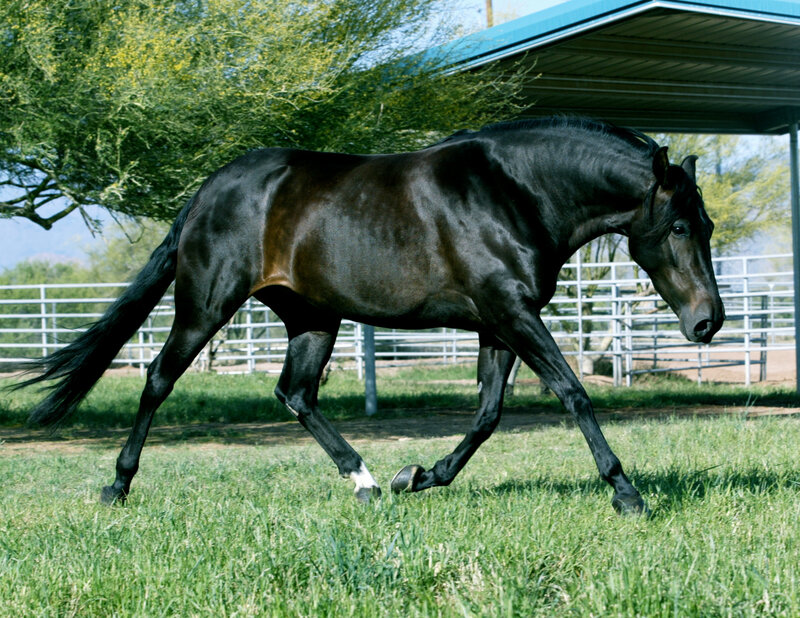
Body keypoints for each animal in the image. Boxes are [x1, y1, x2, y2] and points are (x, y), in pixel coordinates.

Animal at [17, 117, 724, 515]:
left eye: (710, 226)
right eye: (680, 226)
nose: (707, 324)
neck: (512, 191)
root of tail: (208, 190)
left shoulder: (499, 322)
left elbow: (488, 415)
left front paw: (421, 476)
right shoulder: (512, 313)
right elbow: (573, 393)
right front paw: (626, 494)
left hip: (312, 318)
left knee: (296, 394)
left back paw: (366, 482)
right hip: (206, 304)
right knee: (158, 380)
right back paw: (117, 487)